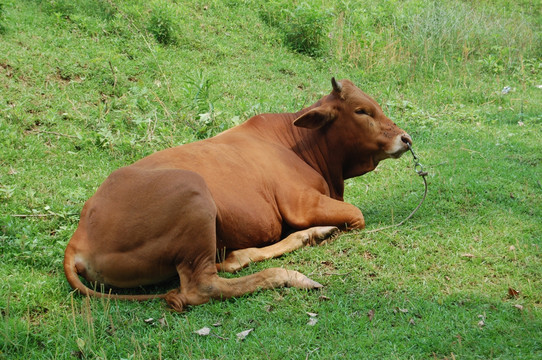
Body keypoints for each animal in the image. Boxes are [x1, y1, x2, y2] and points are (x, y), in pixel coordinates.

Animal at [63, 79, 412, 312]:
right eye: (361, 110)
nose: (406, 138)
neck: (301, 145)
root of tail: (79, 236)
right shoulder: (301, 203)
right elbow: (357, 215)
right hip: (194, 194)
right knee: (202, 286)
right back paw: (290, 275)